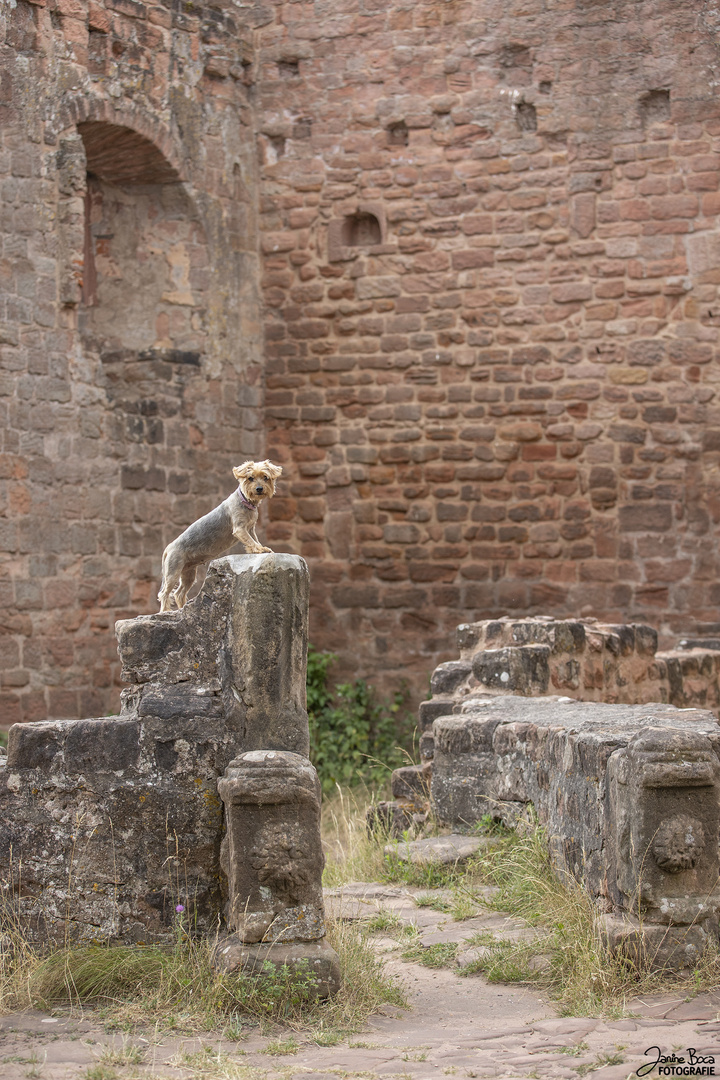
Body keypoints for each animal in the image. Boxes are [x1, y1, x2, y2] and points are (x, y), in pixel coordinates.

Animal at [158, 457, 282, 617]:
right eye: (250, 478)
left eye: (265, 477)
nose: (259, 488)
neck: (247, 502)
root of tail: (168, 547)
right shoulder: (240, 529)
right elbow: (250, 540)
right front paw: (258, 550)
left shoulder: (251, 528)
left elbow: (254, 540)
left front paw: (261, 548)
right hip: (173, 570)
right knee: (165, 593)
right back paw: (165, 611)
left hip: (188, 573)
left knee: (179, 593)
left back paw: (183, 609)